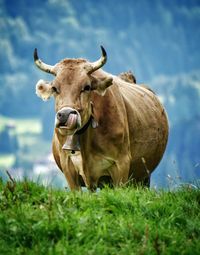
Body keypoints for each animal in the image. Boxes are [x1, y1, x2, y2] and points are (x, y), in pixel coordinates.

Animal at [33, 45, 168, 190]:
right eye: (54, 88)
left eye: (87, 87)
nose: (65, 115)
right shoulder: (68, 167)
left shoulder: (122, 163)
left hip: (144, 176)